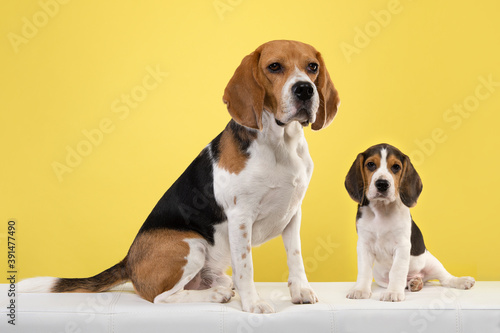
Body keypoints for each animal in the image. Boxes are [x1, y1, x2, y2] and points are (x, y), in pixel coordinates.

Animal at [19, 40, 340, 312]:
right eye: (274, 67)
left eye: (312, 67)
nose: (305, 90)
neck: (281, 143)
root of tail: (128, 261)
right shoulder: (240, 217)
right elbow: (246, 267)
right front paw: (253, 304)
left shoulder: (293, 212)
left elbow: (295, 257)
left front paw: (300, 292)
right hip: (191, 245)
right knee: (162, 297)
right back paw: (216, 295)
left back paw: (221, 287)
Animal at [346, 143, 474, 300]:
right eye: (370, 164)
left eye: (396, 167)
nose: (382, 184)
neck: (382, 209)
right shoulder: (364, 245)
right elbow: (364, 270)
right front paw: (360, 290)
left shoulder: (402, 245)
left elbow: (397, 271)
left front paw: (393, 292)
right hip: (380, 276)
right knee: (408, 281)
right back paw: (415, 283)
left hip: (432, 262)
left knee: (445, 279)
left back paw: (462, 281)